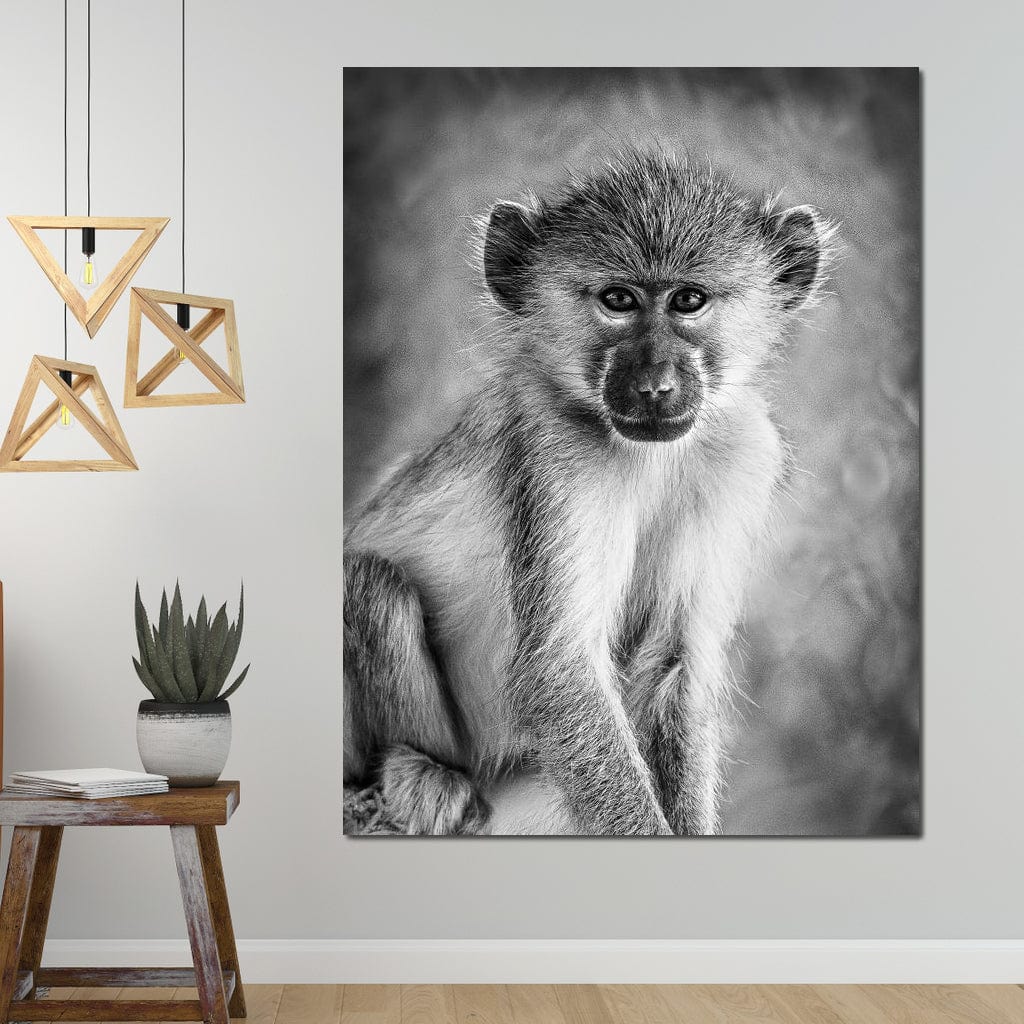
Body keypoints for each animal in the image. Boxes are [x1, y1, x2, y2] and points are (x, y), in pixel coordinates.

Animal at [343, 150, 834, 836]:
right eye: (617, 300)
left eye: (689, 300)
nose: (655, 385)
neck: (652, 457)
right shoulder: (559, 452)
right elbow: (560, 670)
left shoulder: (743, 453)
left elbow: (676, 663)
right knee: (370, 585)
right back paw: (419, 769)